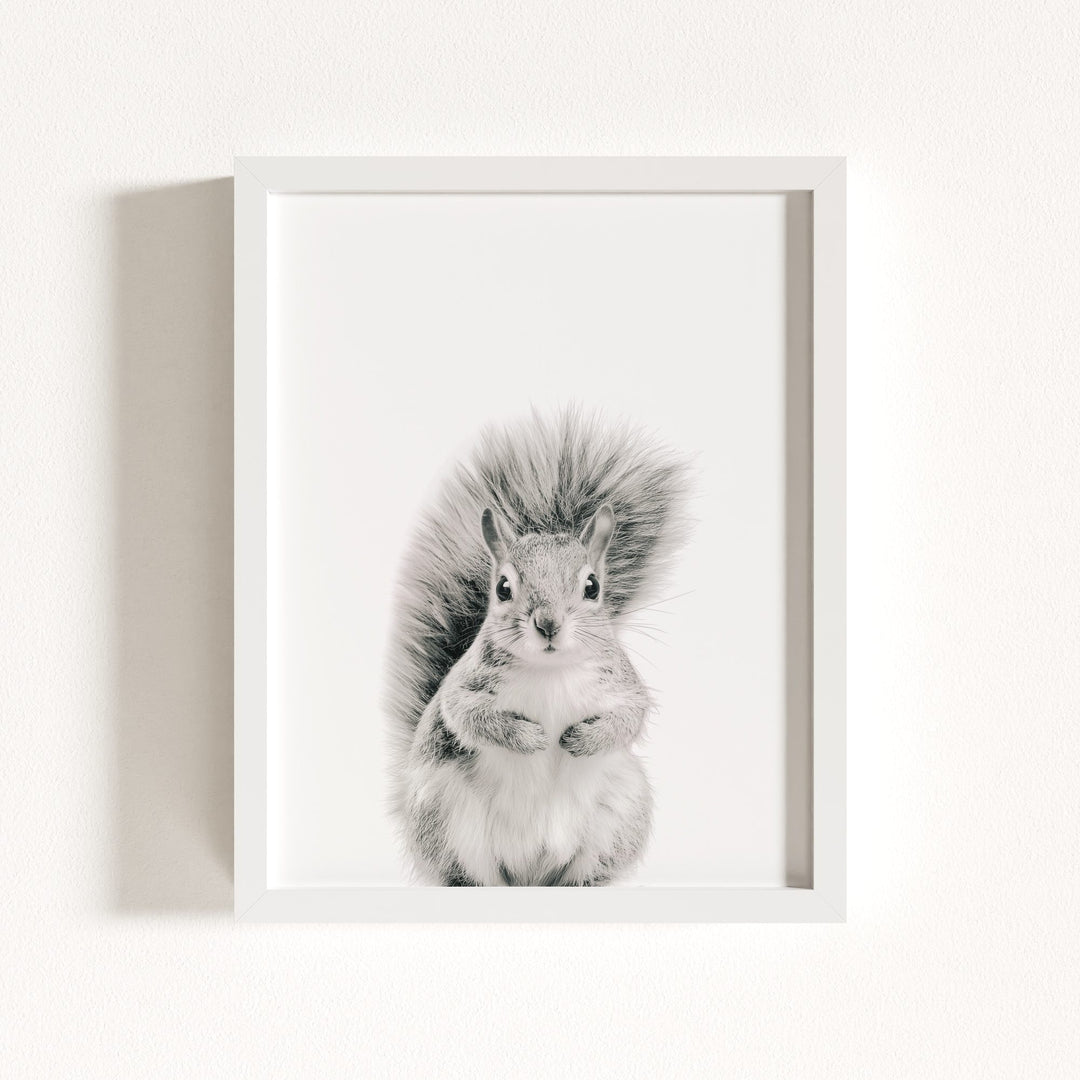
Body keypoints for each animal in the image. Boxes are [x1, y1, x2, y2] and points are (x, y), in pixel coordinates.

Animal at [385, 408, 691, 886]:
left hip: (619, 817)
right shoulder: (464, 686)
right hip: (445, 819)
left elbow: (629, 717)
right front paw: (530, 737)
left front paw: (580, 739)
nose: (548, 624)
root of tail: (530, 874)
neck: (550, 671)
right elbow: (466, 715)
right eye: (503, 588)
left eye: (592, 586)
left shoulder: (621, 684)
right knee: (471, 874)